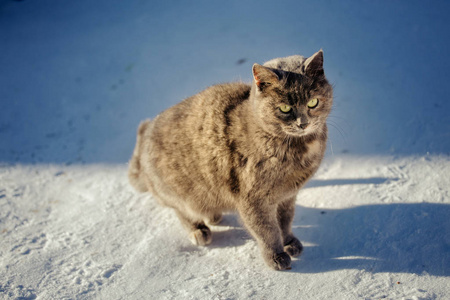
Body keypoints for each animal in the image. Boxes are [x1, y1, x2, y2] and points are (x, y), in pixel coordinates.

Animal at [128, 50, 332, 270]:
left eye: (313, 102)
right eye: (285, 108)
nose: (303, 123)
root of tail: (143, 145)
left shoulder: (287, 196)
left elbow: (285, 221)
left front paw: (290, 242)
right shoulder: (253, 199)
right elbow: (267, 230)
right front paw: (276, 256)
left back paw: (214, 215)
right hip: (179, 192)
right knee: (182, 210)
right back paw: (198, 230)